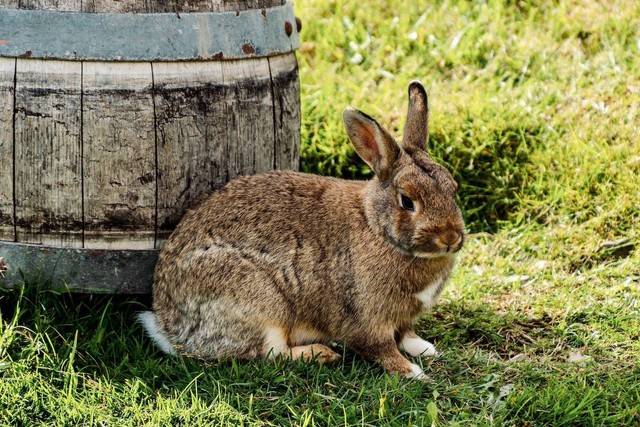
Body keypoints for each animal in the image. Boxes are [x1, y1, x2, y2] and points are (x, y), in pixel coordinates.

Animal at [139, 81, 464, 382]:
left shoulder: (404, 318)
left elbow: (406, 334)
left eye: (453, 189)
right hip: (258, 301)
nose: (450, 239)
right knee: (271, 353)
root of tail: (169, 327)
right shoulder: (368, 317)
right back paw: (321, 353)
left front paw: (425, 349)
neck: (377, 227)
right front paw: (413, 372)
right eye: (407, 201)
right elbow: (381, 348)